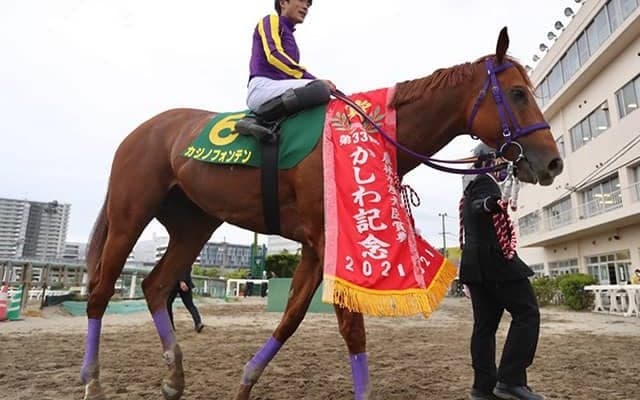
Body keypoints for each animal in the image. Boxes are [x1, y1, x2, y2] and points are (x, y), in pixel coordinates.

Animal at [80, 27, 563, 400]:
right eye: (518, 94)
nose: (553, 162)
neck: (370, 132)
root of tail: (142, 130)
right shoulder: (332, 238)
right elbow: (352, 328)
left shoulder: (315, 245)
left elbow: (292, 319)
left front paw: (245, 383)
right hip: (130, 214)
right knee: (101, 291)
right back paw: (92, 382)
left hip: (193, 223)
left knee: (156, 286)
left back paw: (173, 379)